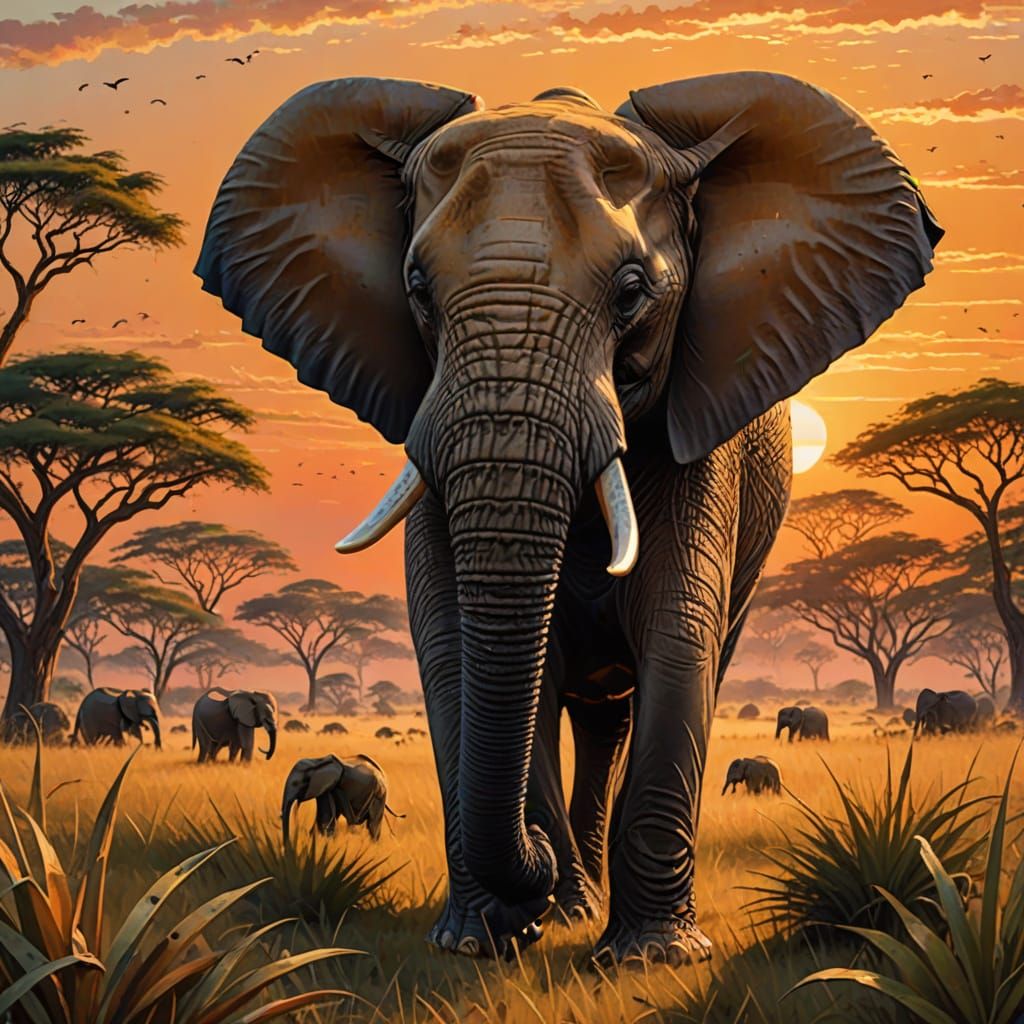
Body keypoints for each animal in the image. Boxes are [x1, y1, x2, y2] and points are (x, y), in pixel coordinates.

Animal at [196, 73, 940, 964]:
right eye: (417, 290)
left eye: (631, 292)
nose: (539, 872)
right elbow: (459, 648)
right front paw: (485, 939)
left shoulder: (698, 441)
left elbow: (677, 636)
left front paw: (651, 956)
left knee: (639, 700)